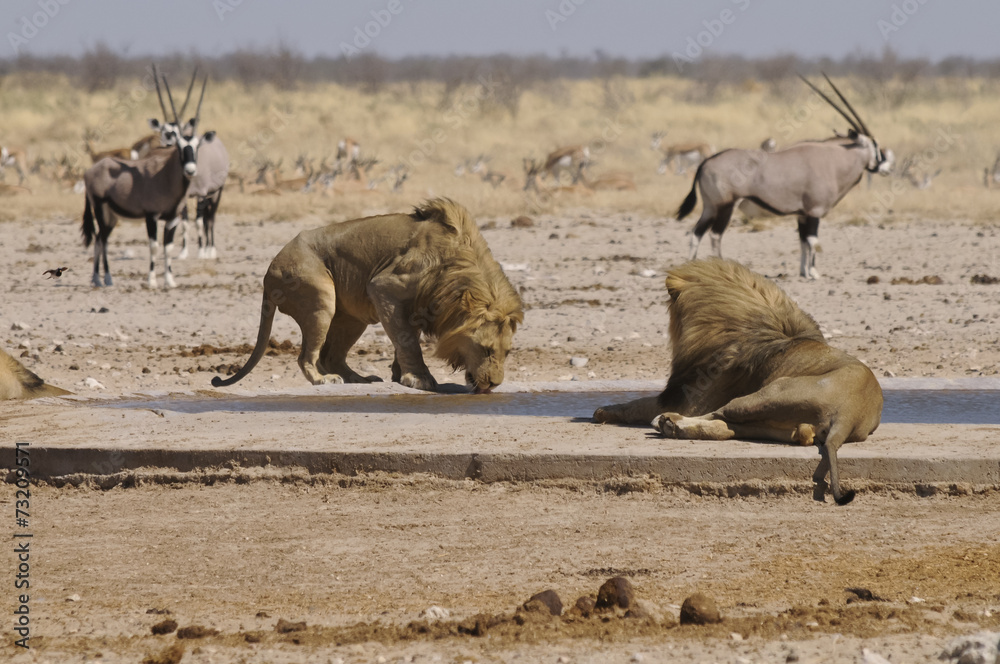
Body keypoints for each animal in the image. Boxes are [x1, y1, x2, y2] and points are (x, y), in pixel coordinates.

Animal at [212, 198, 524, 393]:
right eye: (486, 350)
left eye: (507, 353)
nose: (494, 383)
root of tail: (270, 268)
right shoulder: (384, 286)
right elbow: (408, 342)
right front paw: (419, 379)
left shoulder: (413, 307)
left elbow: (405, 339)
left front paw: (399, 375)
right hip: (319, 299)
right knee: (306, 357)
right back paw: (324, 380)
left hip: (352, 318)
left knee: (332, 356)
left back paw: (359, 380)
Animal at [593, 259, 882, 505]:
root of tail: (849, 414)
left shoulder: (689, 399)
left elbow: (637, 404)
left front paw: (603, 411)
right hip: (775, 422)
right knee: (727, 428)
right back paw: (673, 428)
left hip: (768, 392)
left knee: (716, 416)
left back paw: (668, 423)